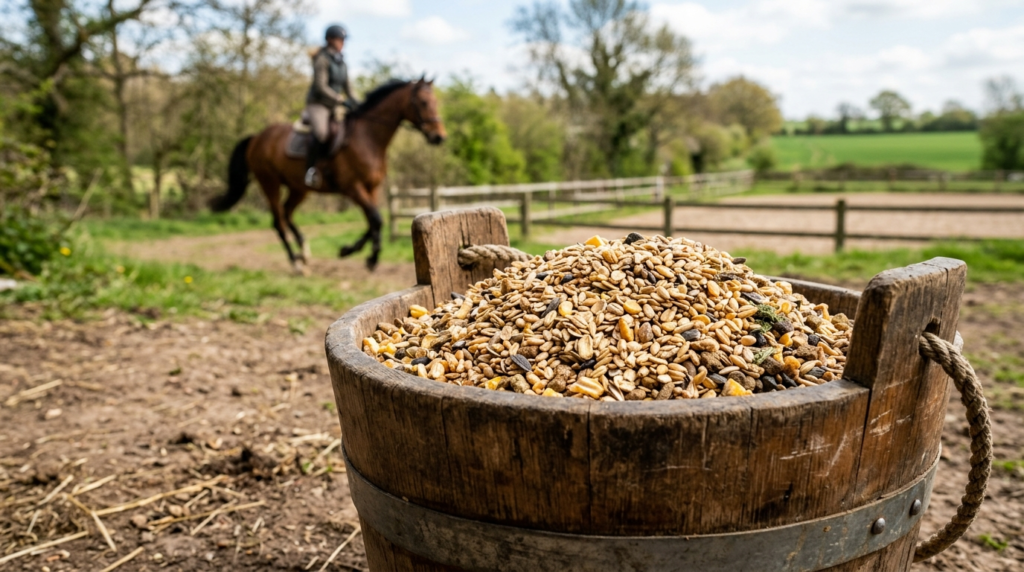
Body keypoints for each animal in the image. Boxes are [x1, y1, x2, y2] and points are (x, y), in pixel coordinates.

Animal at [208, 78, 447, 273]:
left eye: (436, 102)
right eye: (423, 102)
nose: (439, 137)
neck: (367, 138)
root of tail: (257, 137)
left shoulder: (371, 188)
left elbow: (373, 222)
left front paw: (351, 251)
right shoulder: (352, 188)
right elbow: (376, 219)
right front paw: (370, 257)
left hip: (298, 188)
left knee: (287, 213)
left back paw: (304, 252)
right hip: (270, 183)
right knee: (278, 221)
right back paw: (296, 263)